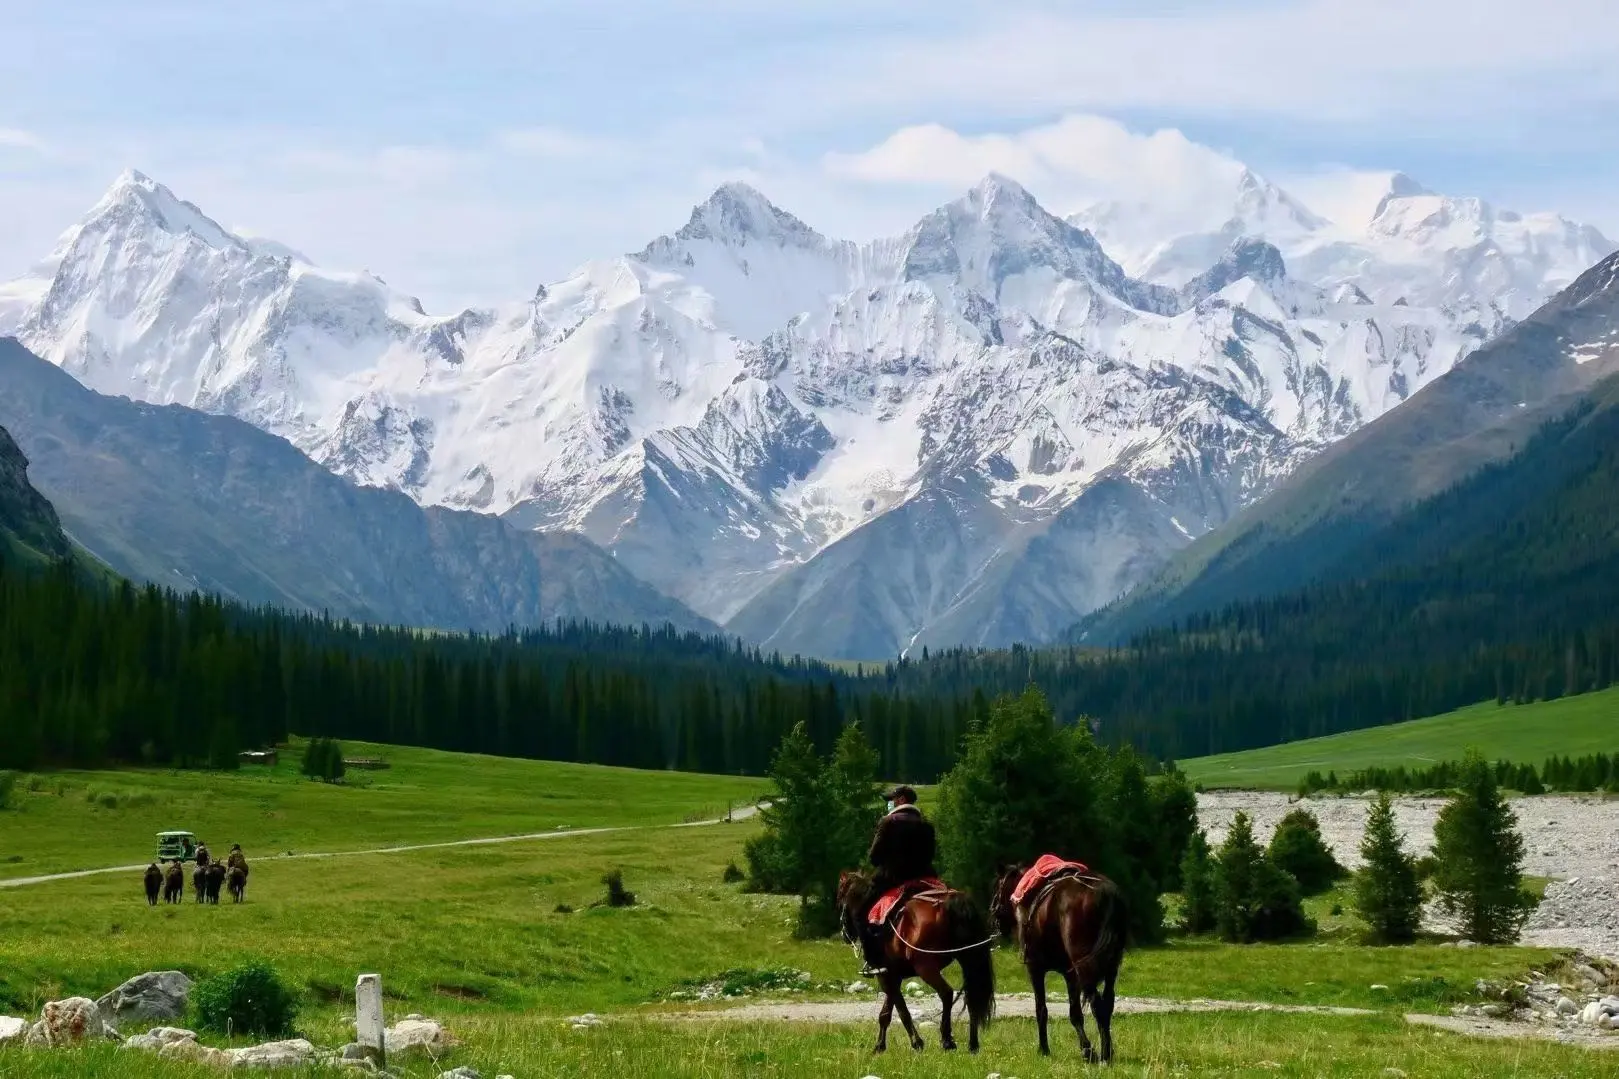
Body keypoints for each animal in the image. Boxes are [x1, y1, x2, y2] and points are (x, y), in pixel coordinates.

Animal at [841, 868, 990, 1049]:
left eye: (840, 898)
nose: (845, 935)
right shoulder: (893, 976)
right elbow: (886, 1012)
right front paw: (880, 1045)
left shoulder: (885, 975)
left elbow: (901, 1010)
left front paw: (916, 1042)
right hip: (968, 959)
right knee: (972, 996)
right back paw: (973, 1044)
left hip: (925, 967)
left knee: (946, 993)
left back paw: (947, 1039)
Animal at [984, 861, 1126, 1056]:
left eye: (996, 887)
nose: (993, 918)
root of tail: (1104, 894)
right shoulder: (1070, 974)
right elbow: (1075, 1013)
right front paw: (1086, 1049)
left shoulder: (1035, 968)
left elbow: (1041, 1009)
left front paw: (1045, 1048)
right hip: (1111, 967)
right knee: (1108, 1003)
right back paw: (1107, 1051)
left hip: (1084, 967)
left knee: (1097, 1003)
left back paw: (1104, 1054)